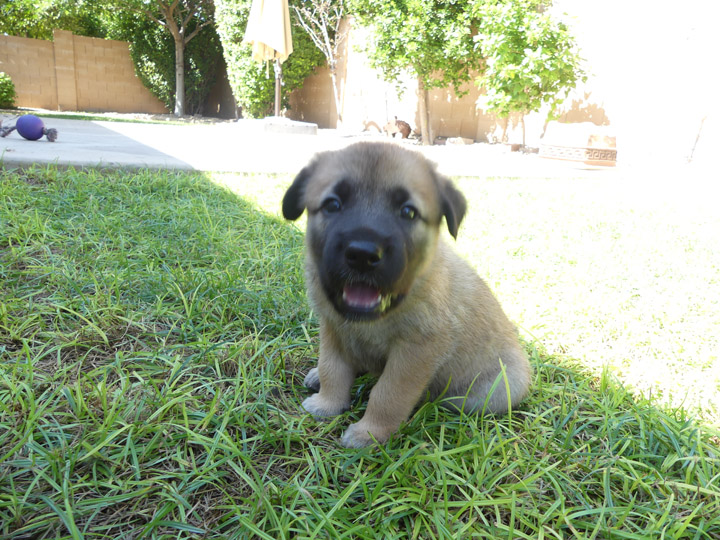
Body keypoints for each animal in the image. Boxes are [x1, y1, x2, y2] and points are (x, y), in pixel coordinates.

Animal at [284, 142, 532, 448]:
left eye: (408, 212)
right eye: (332, 205)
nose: (363, 254)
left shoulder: (415, 352)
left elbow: (388, 394)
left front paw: (370, 433)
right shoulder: (333, 329)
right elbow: (333, 369)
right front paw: (327, 404)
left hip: (497, 389)